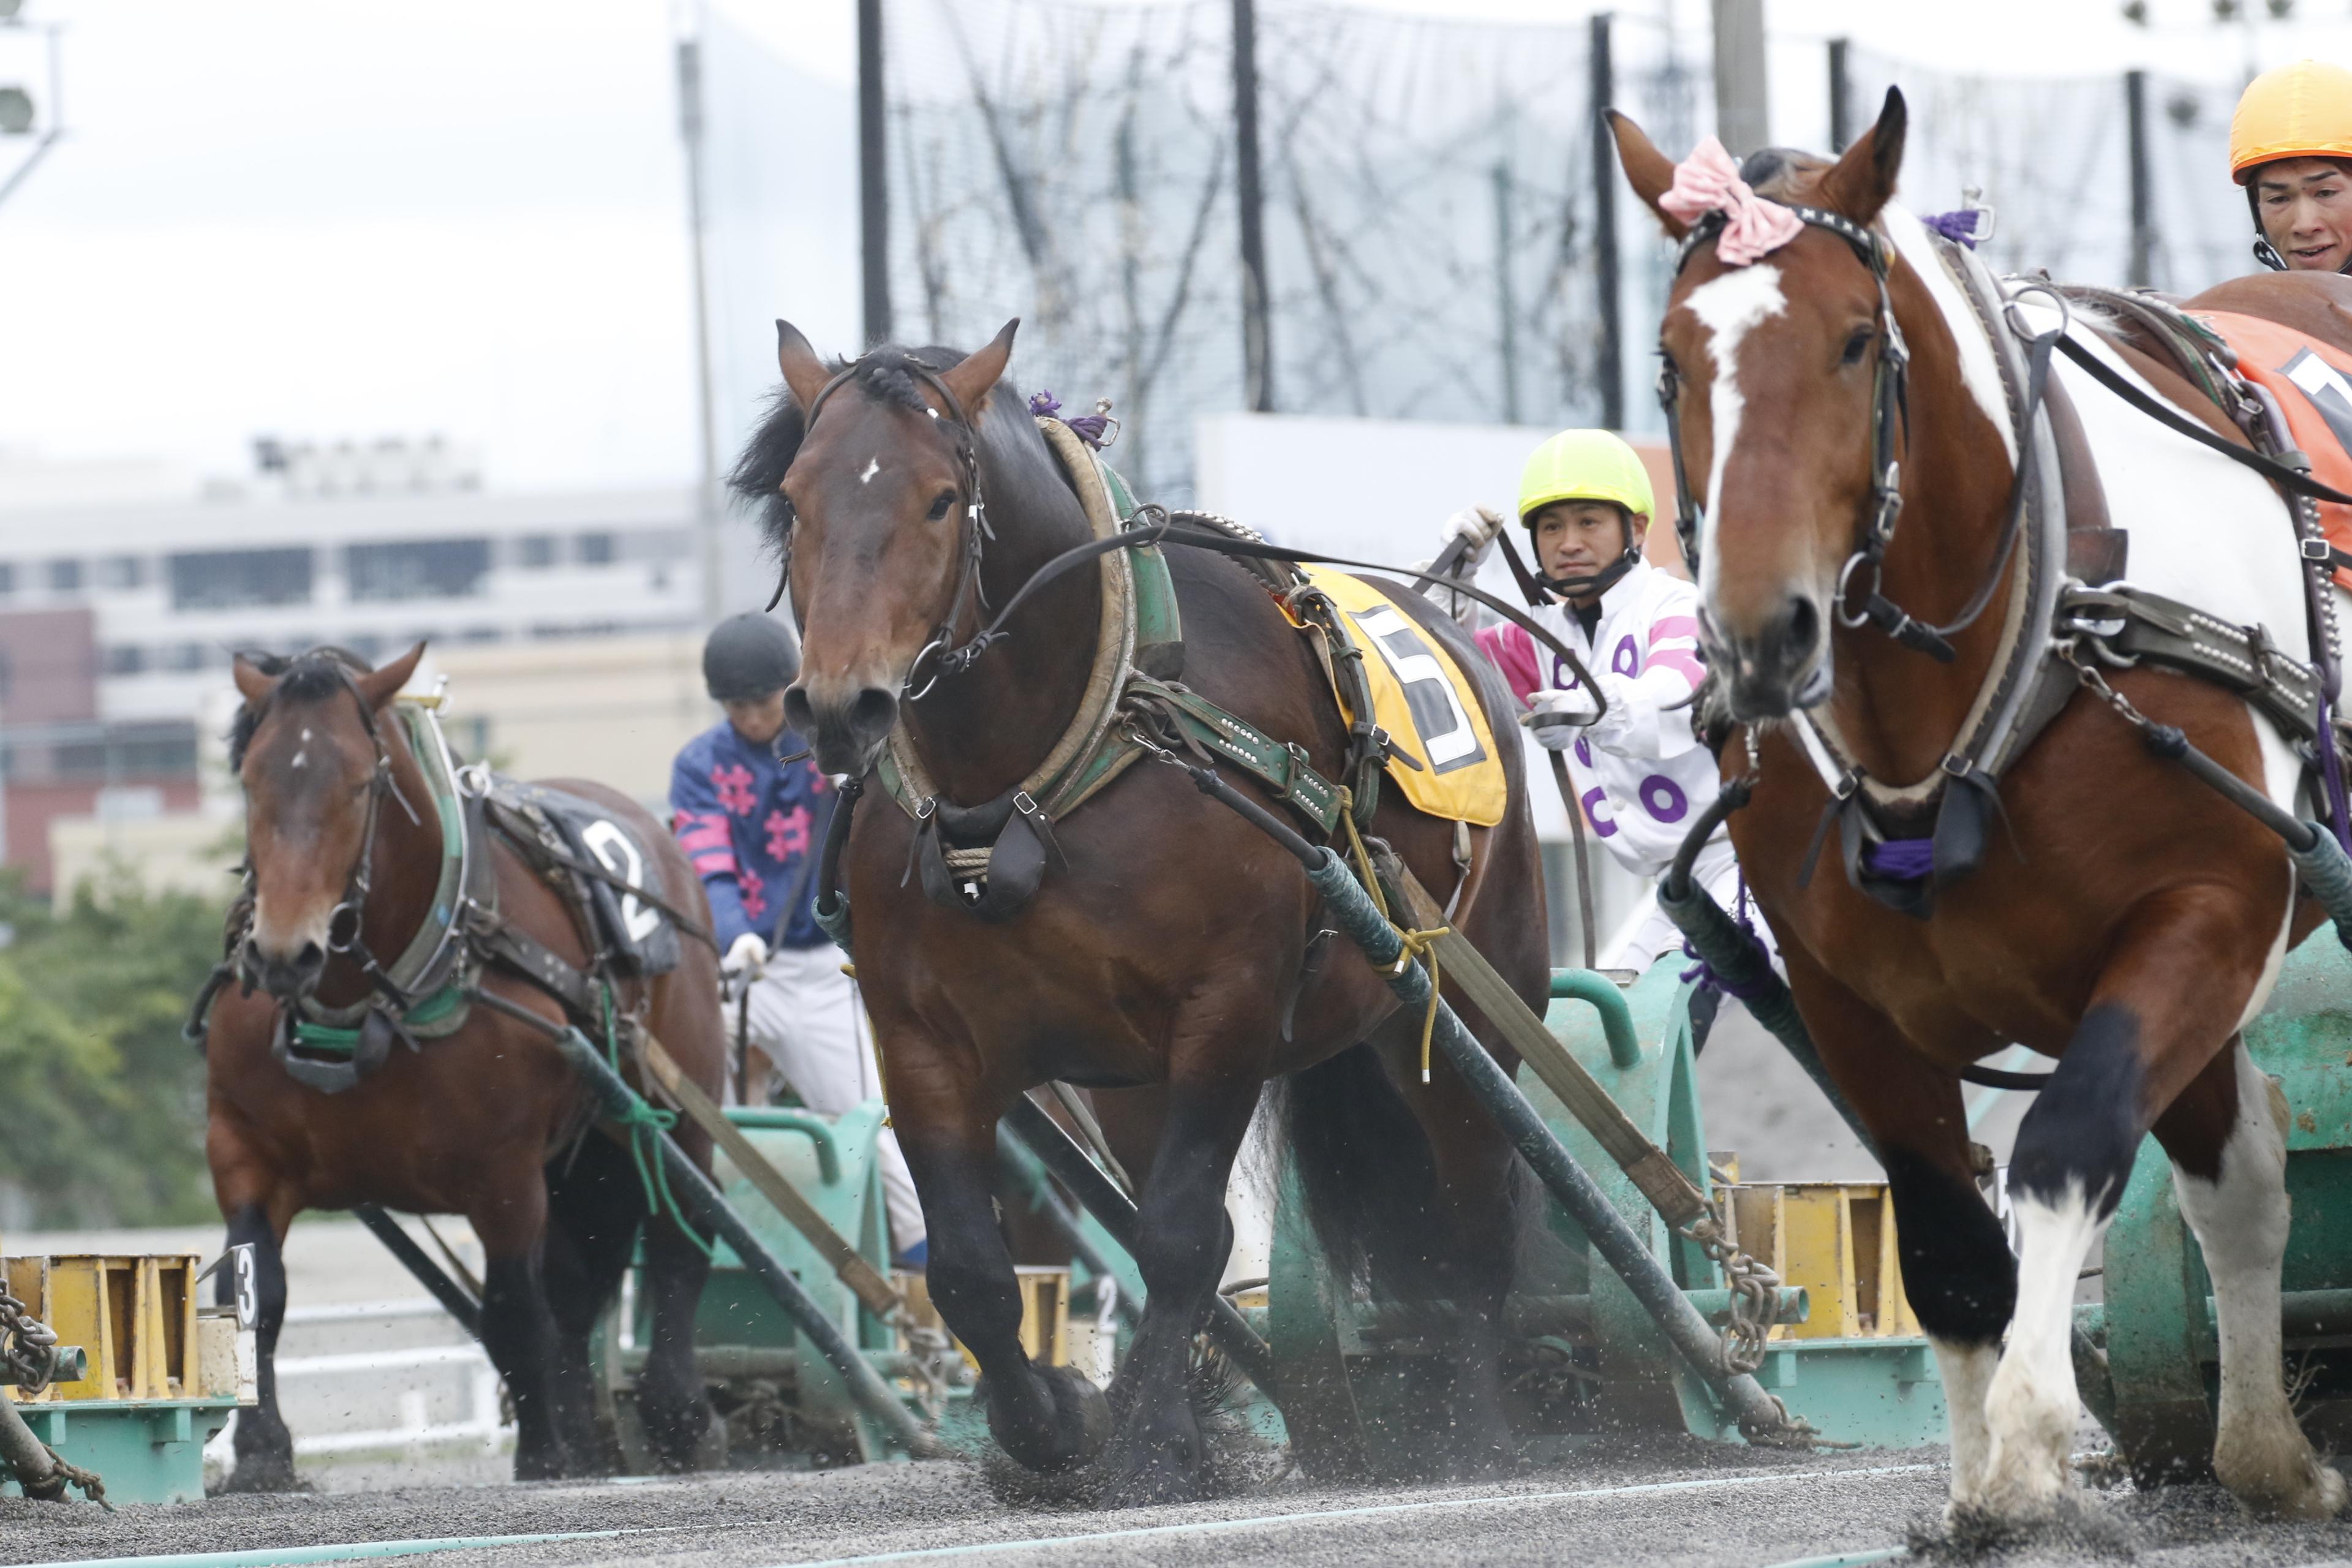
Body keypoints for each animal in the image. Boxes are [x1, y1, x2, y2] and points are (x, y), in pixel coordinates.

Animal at [204, 644, 727, 1487]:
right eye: (252, 779)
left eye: (360, 784)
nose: (285, 952)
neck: (366, 1001)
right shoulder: (245, 1149)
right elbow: (257, 1295)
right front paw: (260, 1453)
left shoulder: (503, 1171)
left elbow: (514, 1309)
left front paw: (541, 1452)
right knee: (579, 1281)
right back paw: (589, 1434)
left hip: (676, 1099)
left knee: (681, 1228)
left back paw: (676, 1416)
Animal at [730, 320, 1551, 1502]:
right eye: (796, 499)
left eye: (940, 499)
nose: (845, 706)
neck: (1024, 781)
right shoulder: (918, 1034)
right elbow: (972, 1270)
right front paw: (1054, 1425)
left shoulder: (1228, 1006)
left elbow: (1176, 1236)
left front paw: (1156, 1445)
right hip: (1130, 1078)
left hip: (1459, 1006)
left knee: (1476, 1215)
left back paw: (1476, 1428)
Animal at [1611, 91, 2352, 1525]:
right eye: (1672, 362)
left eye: (1855, 340)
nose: (1758, 637)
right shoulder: (1849, 994)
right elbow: (1949, 1236)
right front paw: (1980, 1496)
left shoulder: (2211, 909)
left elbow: (2067, 1140)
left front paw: (2030, 1431)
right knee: (2239, 1183)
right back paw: (2262, 1451)